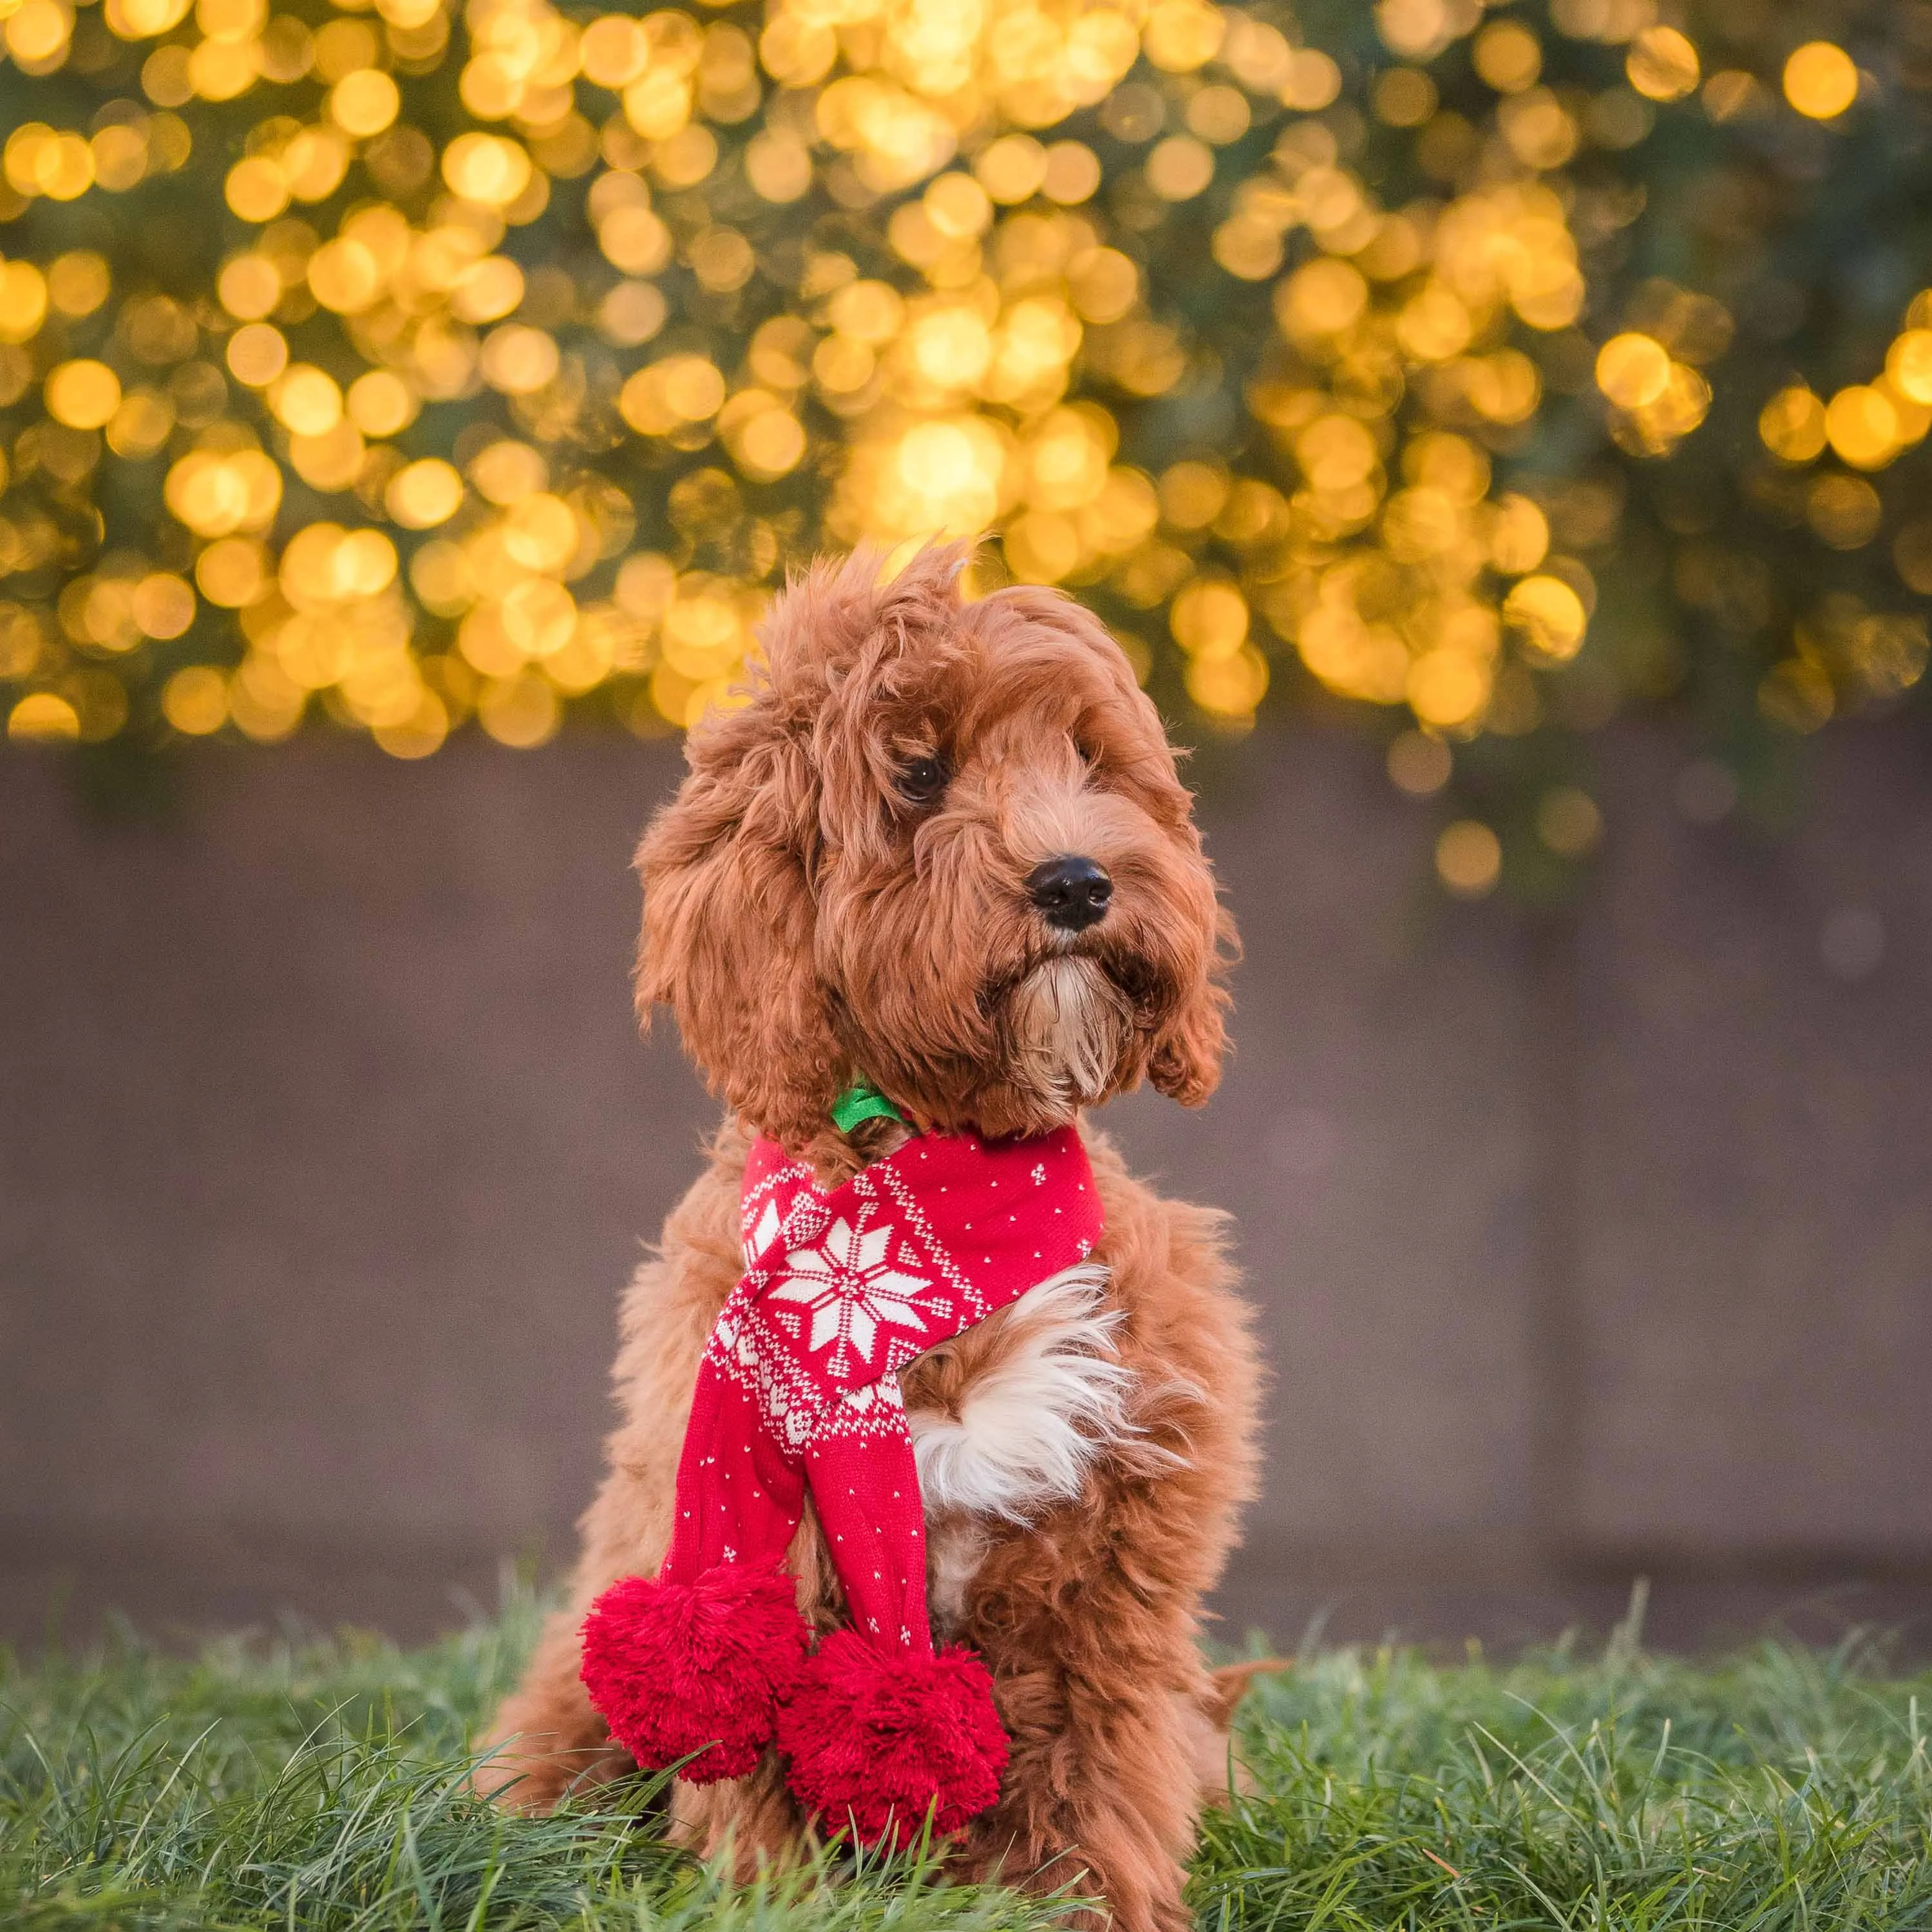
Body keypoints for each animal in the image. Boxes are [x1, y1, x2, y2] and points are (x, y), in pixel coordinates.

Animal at [479, 545, 1267, 1932]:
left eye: (1091, 760)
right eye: (919, 773)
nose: (1079, 881)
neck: (938, 1195)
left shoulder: (1109, 1571)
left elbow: (1093, 1775)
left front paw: (1087, 1906)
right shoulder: (754, 1533)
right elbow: (750, 1755)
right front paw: (777, 1899)